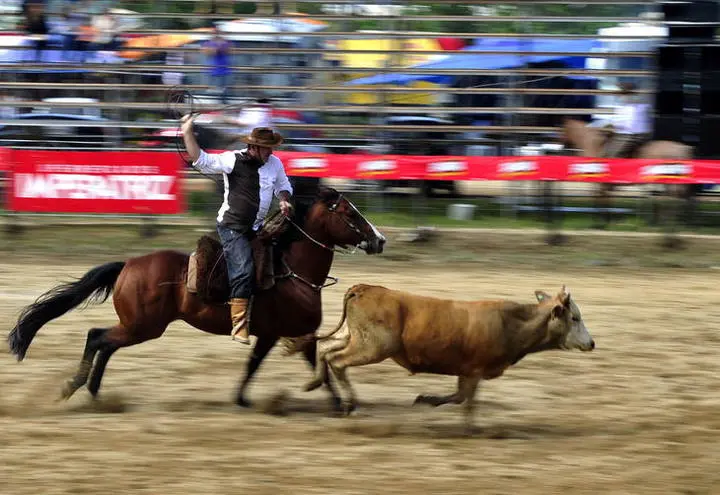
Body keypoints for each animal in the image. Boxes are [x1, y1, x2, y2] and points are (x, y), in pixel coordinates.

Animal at [7, 188, 388, 412]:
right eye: (350, 214)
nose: (380, 240)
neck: (289, 270)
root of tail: (127, 265)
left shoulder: (276, 335)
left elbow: (255, 364)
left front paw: (241, 398)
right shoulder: (292, 332)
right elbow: (307, 366)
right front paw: (340, 403)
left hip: (137, 326)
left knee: (103, 341)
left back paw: (95, 392)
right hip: (143, 327)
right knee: (97, 337)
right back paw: (79, 387)